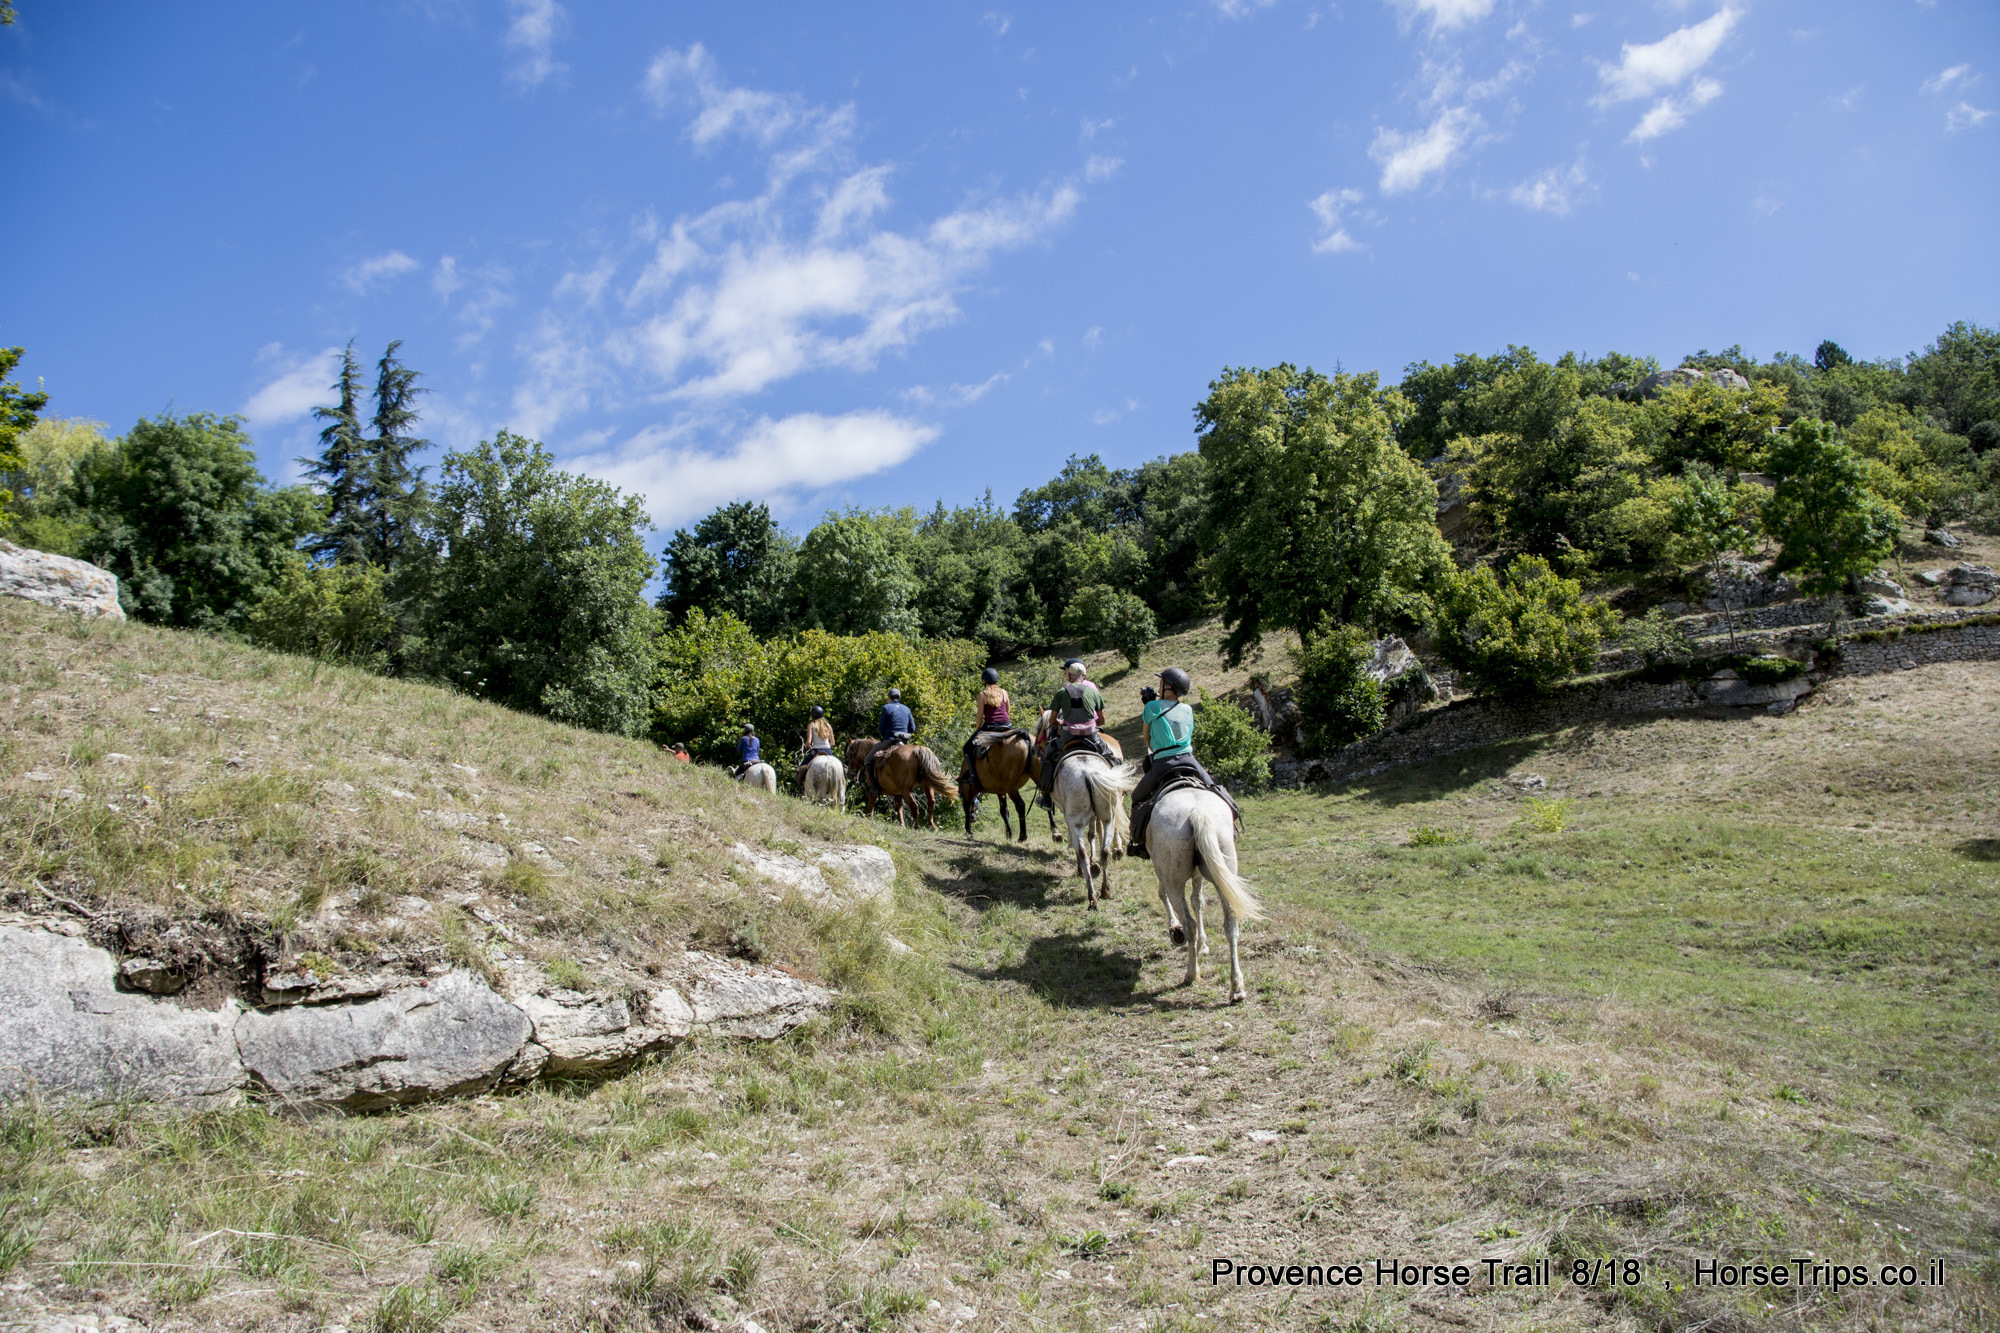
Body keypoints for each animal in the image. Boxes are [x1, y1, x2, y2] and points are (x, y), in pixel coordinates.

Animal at [1051, 753, 1142, 910]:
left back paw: (1092, 896)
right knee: (1105, 851)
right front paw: (1095, 862)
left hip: (1075, 822)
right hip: (1108, 818)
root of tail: (1088, 773)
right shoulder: (1095, 816)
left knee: (1082, 853)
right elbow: (1093, 834)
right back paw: (1105, 890)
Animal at [1146, 785, 1261, 1003]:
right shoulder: (1198, 873)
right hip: (1223, 872)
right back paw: (1237, 987)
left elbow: (1163, 894)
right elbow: (1198, 901)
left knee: (1188, 921)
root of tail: (1197, 813)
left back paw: (1191, 974)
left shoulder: (1163, 873)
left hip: (1175, 882)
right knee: (1230, 924)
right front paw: (1203, 944)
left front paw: (1175, 929)